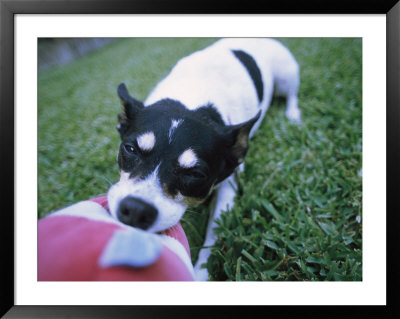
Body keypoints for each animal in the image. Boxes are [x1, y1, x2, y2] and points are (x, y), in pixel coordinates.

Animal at [106, 38, 300, 282]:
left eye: (195, 174)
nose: (136, 210)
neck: (191, 100)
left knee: (292, 93)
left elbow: (214, 232)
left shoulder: (228, 184)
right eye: (130, 149)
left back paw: (293, 114)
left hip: (286, 75)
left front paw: (200, 271)